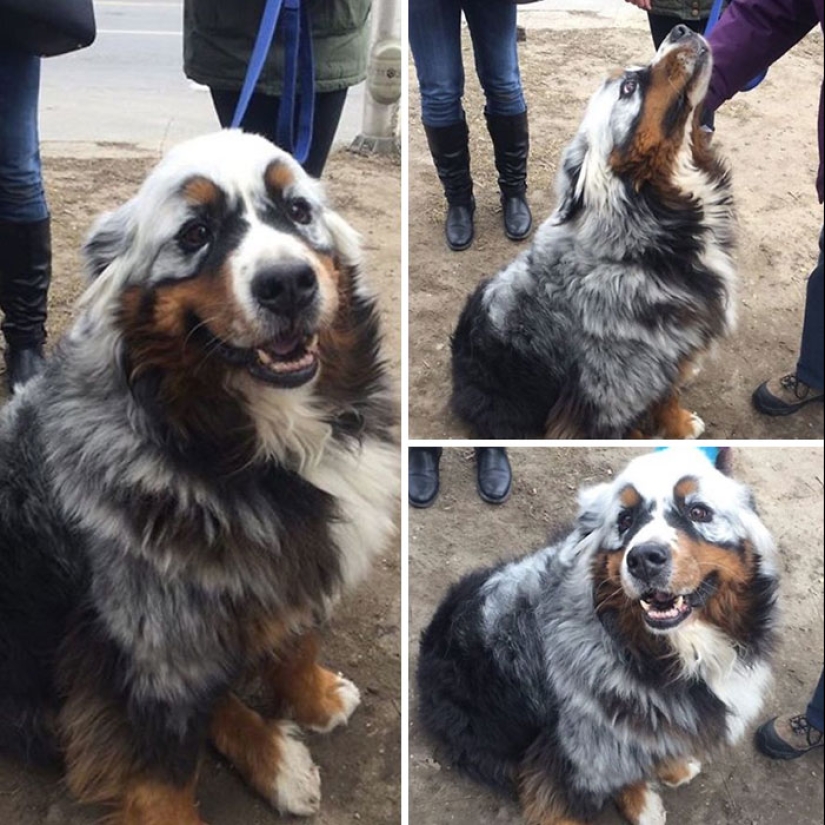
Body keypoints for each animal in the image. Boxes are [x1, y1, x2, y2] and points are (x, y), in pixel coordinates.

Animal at [0, 132, 400, 824]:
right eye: (195, 233)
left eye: (298, 210)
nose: (288, 283)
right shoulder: (144, 651)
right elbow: (163, 781)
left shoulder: (283, 564)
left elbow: (298, 640)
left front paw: (316, 699)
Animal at [418, 448, 780, 824]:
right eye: (624, 520)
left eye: (698, 511)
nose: (643, 559)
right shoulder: (579, 750)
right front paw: (642, 805)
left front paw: (674, 769)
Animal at [450, 25, 732, 438]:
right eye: (630, 87)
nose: (681, 29)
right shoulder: (611, 391)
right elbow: (641, 415)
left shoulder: (667, 354)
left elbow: (668, 393)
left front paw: (679, 424)